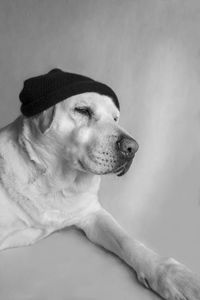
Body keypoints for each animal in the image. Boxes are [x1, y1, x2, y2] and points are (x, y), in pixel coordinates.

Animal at [0, 90, 199, 298]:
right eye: (82, 110)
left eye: (115, 118)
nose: (132, 148)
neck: (55, 182)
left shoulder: (93, 214)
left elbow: (126, 240)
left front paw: (174, 276)